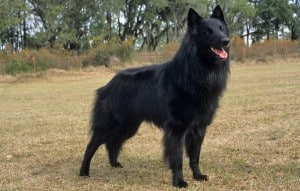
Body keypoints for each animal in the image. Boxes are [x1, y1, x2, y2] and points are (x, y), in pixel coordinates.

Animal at [79, 5, 230, 187]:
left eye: (222, 29)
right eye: (208, 32)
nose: (226, 41)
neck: (196, 72)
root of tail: (109, 83)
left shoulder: (200, 128)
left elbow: (195, 157)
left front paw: (198, 176)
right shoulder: (177, 129)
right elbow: (177, 158)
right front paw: (179, 181)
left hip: (128, 126)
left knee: (113, 142)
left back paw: (114, 163)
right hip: (109, 125)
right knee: (91, 146)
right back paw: (83, 172)